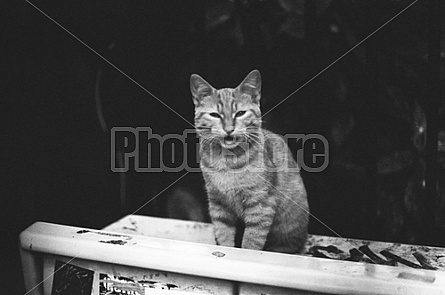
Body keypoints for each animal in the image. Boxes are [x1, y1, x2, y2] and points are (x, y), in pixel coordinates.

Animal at [188, 70, 308, 254]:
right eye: (215, 115)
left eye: (240, 113)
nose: (229, 129)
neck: (228, 162)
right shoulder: (219, 205)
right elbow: (224, 235)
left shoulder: (260, 205)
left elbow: (252, 242)